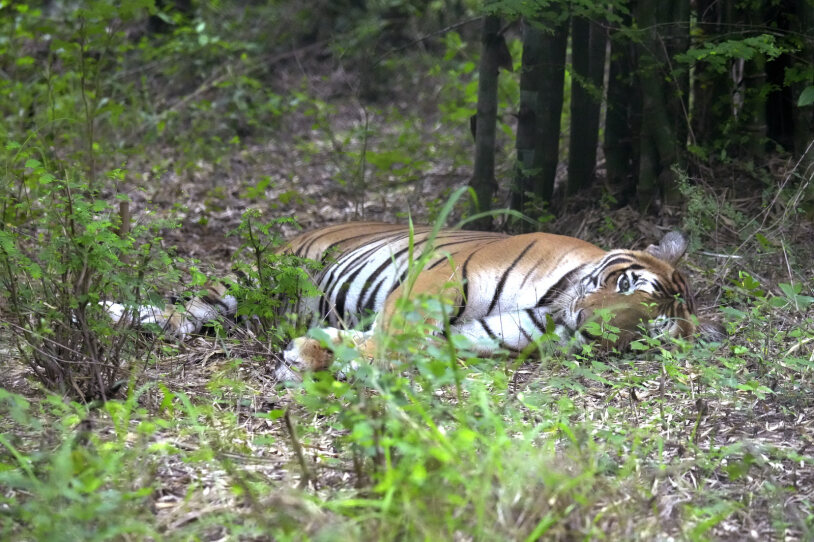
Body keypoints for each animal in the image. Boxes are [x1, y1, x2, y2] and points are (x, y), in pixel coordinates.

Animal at [105, 221, 724, 378]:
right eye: (626, 287)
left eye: (643, 329)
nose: (593, 328)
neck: (554, 311)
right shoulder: (445, 275)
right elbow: (394, 334)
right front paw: (310, 356)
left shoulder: (485, 337)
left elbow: (401, 348)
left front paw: (315, 351)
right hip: (250, 275)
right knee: (184, 314)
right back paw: (108, 311)